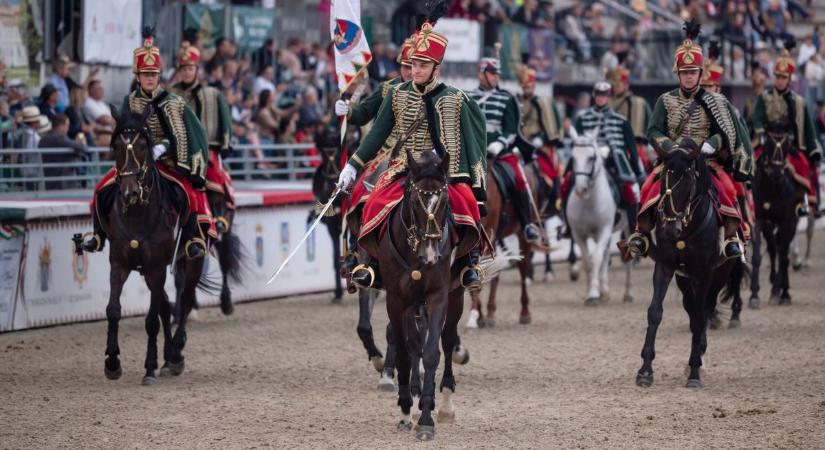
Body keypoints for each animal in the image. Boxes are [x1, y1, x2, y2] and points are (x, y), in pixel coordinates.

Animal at [85, 107, 214, 384]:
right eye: (116, 146)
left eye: (144, 145)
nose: (129, 193)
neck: (138, 214)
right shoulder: (120, 263)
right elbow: (113, 309)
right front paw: (112, 362)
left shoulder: (156, 266)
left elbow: (152, 319)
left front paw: (150, 368)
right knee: (166, 304)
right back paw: (168, 358)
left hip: (192, 259)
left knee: (185, 300)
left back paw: (175, 353)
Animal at [564, 131, 636, 306]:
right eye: (573, 158)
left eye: (591, 157)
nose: (580, 190)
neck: (589, 202)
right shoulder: (578, 234)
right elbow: (587, 261)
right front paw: (591, 291)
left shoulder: (604, 229)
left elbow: (596, 258)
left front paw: (594, 294)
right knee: (604, 256)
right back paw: (604, 291)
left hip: (626, 228)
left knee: (626, 259)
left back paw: (628, 294)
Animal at [636, 146, 736, 388]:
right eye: (663, 178)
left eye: (689, 181)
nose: (671, 229)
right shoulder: (665, 266)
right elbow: (655, 312)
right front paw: (645, 370)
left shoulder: (705, 272)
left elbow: (700, 318)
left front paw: (695, 372)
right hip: (684, 277)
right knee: (692, 309)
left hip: (719, 274)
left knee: (706, 308)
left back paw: (700, 354)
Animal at [748, 132, 800, 308]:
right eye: (768, 145)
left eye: (787, 146)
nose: (777, 174)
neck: (772, 189)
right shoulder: (760, 219)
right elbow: (757, 256)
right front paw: (754, 295)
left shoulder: (787, 221)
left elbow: (783, 255)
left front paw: (782, 293)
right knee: (773, 247)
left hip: (792, 223)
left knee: (783, 252)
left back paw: (781, 289)